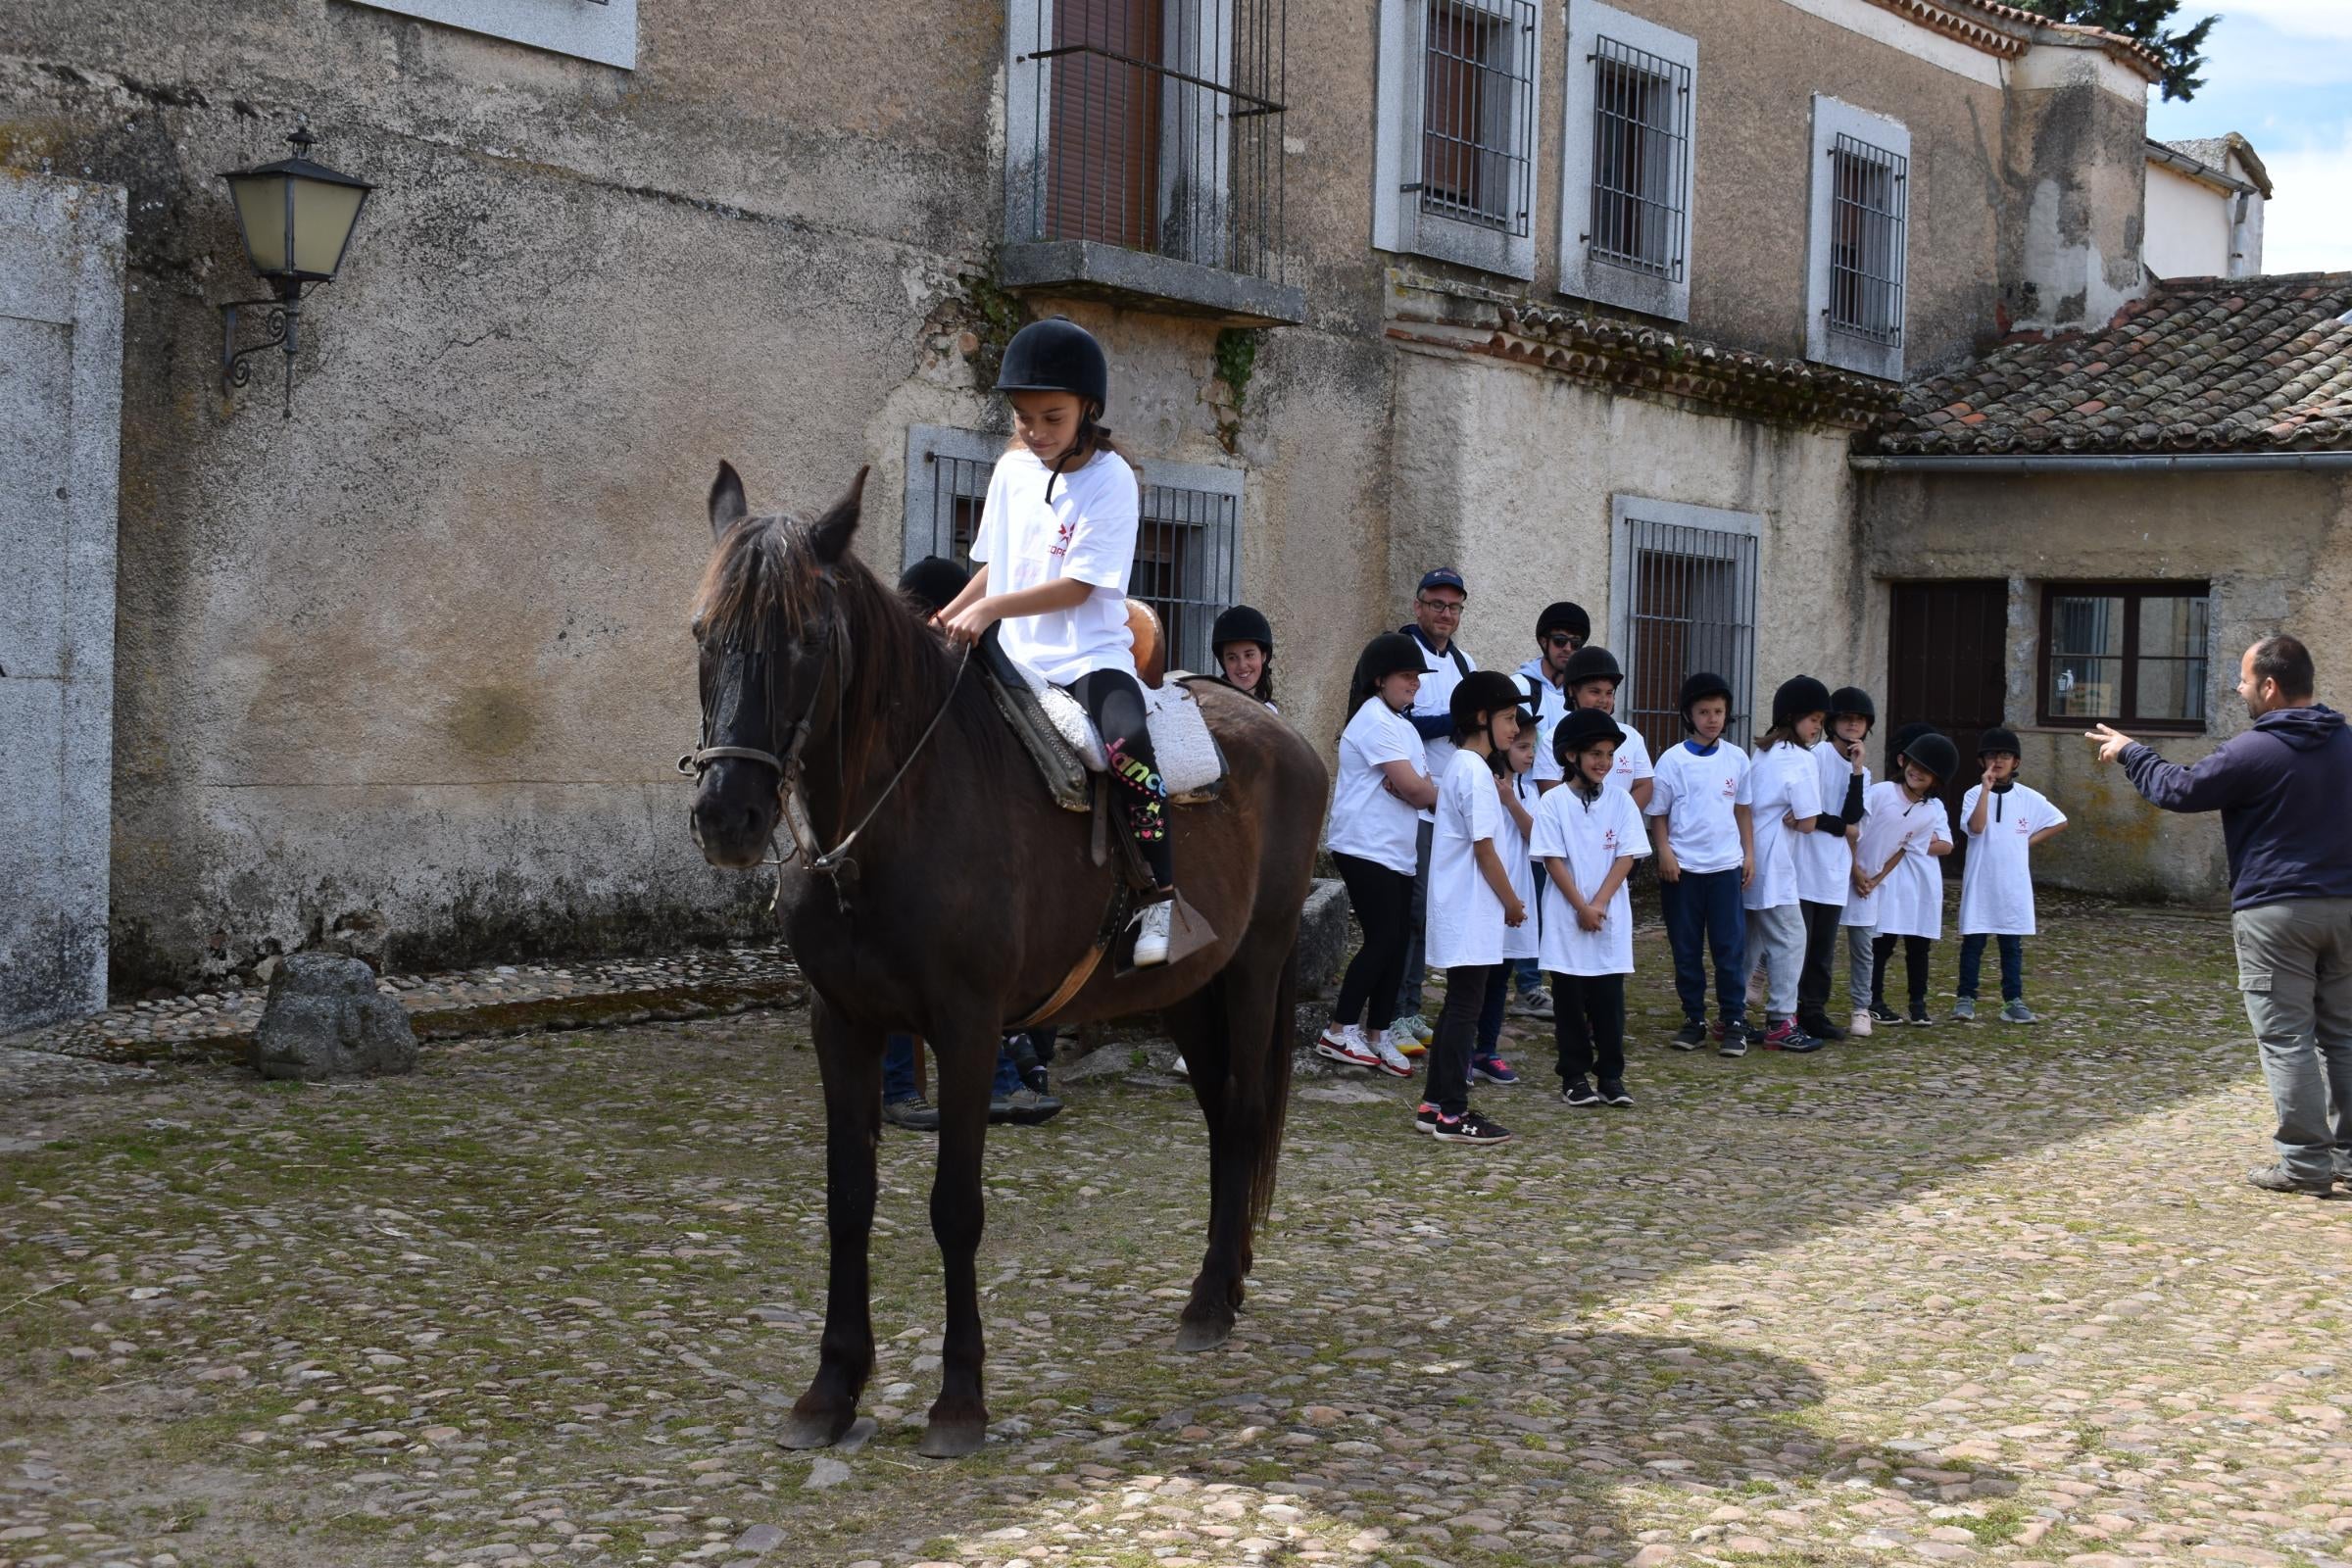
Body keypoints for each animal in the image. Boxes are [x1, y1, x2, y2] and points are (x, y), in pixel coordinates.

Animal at [686, 463, 1336, 1457]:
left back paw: (1210, 1303)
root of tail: (1281, 732)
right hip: (1189, 989)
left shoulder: (967, 1026)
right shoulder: (842, 1022)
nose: (728, 817)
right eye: (702, 633)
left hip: (1256, 967)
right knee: (1225, 1118)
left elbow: (955, 1208)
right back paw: (1216, 1287)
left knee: (1248, 1110)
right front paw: (831, 1390)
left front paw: (959, 1399)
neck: (891, 820)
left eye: (804, 638)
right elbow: (847, 1201)